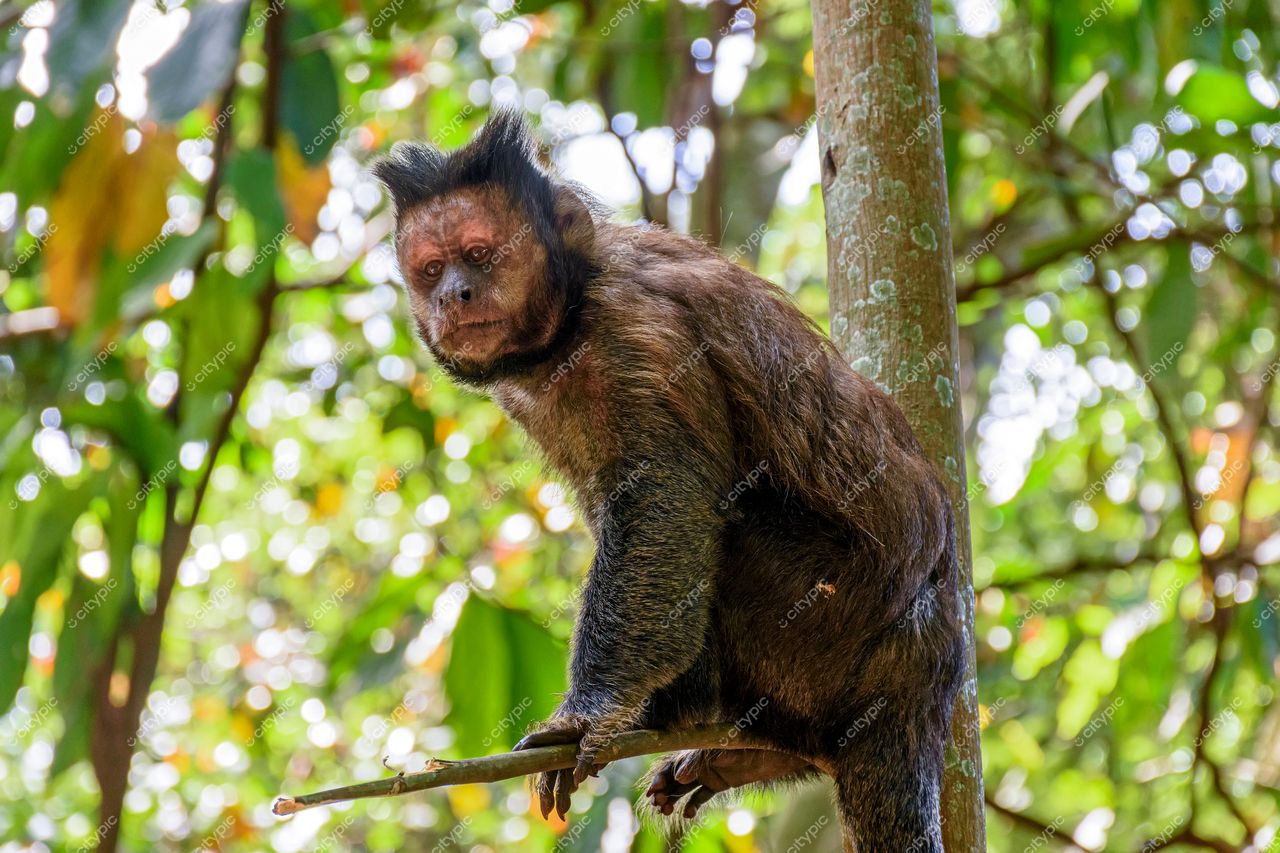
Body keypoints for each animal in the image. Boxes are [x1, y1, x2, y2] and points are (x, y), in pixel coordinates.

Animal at [374, 110, 965, 852]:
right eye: (431, 269)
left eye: (479, 254)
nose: (454, 293)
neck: (573, 314)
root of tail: (930, 663)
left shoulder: (639, 330)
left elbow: (665, 499)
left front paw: (590, 712)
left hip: (838, 623)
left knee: (727, 526)